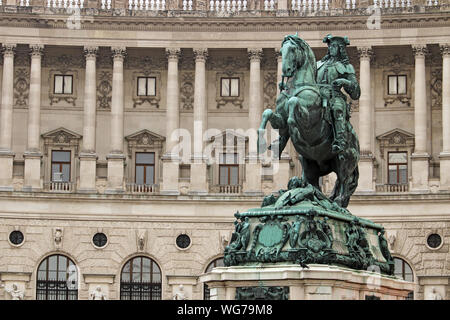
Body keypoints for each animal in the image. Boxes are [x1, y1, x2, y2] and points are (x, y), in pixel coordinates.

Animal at [258, 34, 360, 208]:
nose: (285, 71)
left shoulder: (310, 120)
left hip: (345, 158)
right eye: (281, 50)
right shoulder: (279, 120)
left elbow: (293, 103)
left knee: (344, 181)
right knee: (314, 183)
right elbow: (268, 112)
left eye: (293, 49)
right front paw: (263, 140)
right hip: (309, 161)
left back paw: (337, 202)